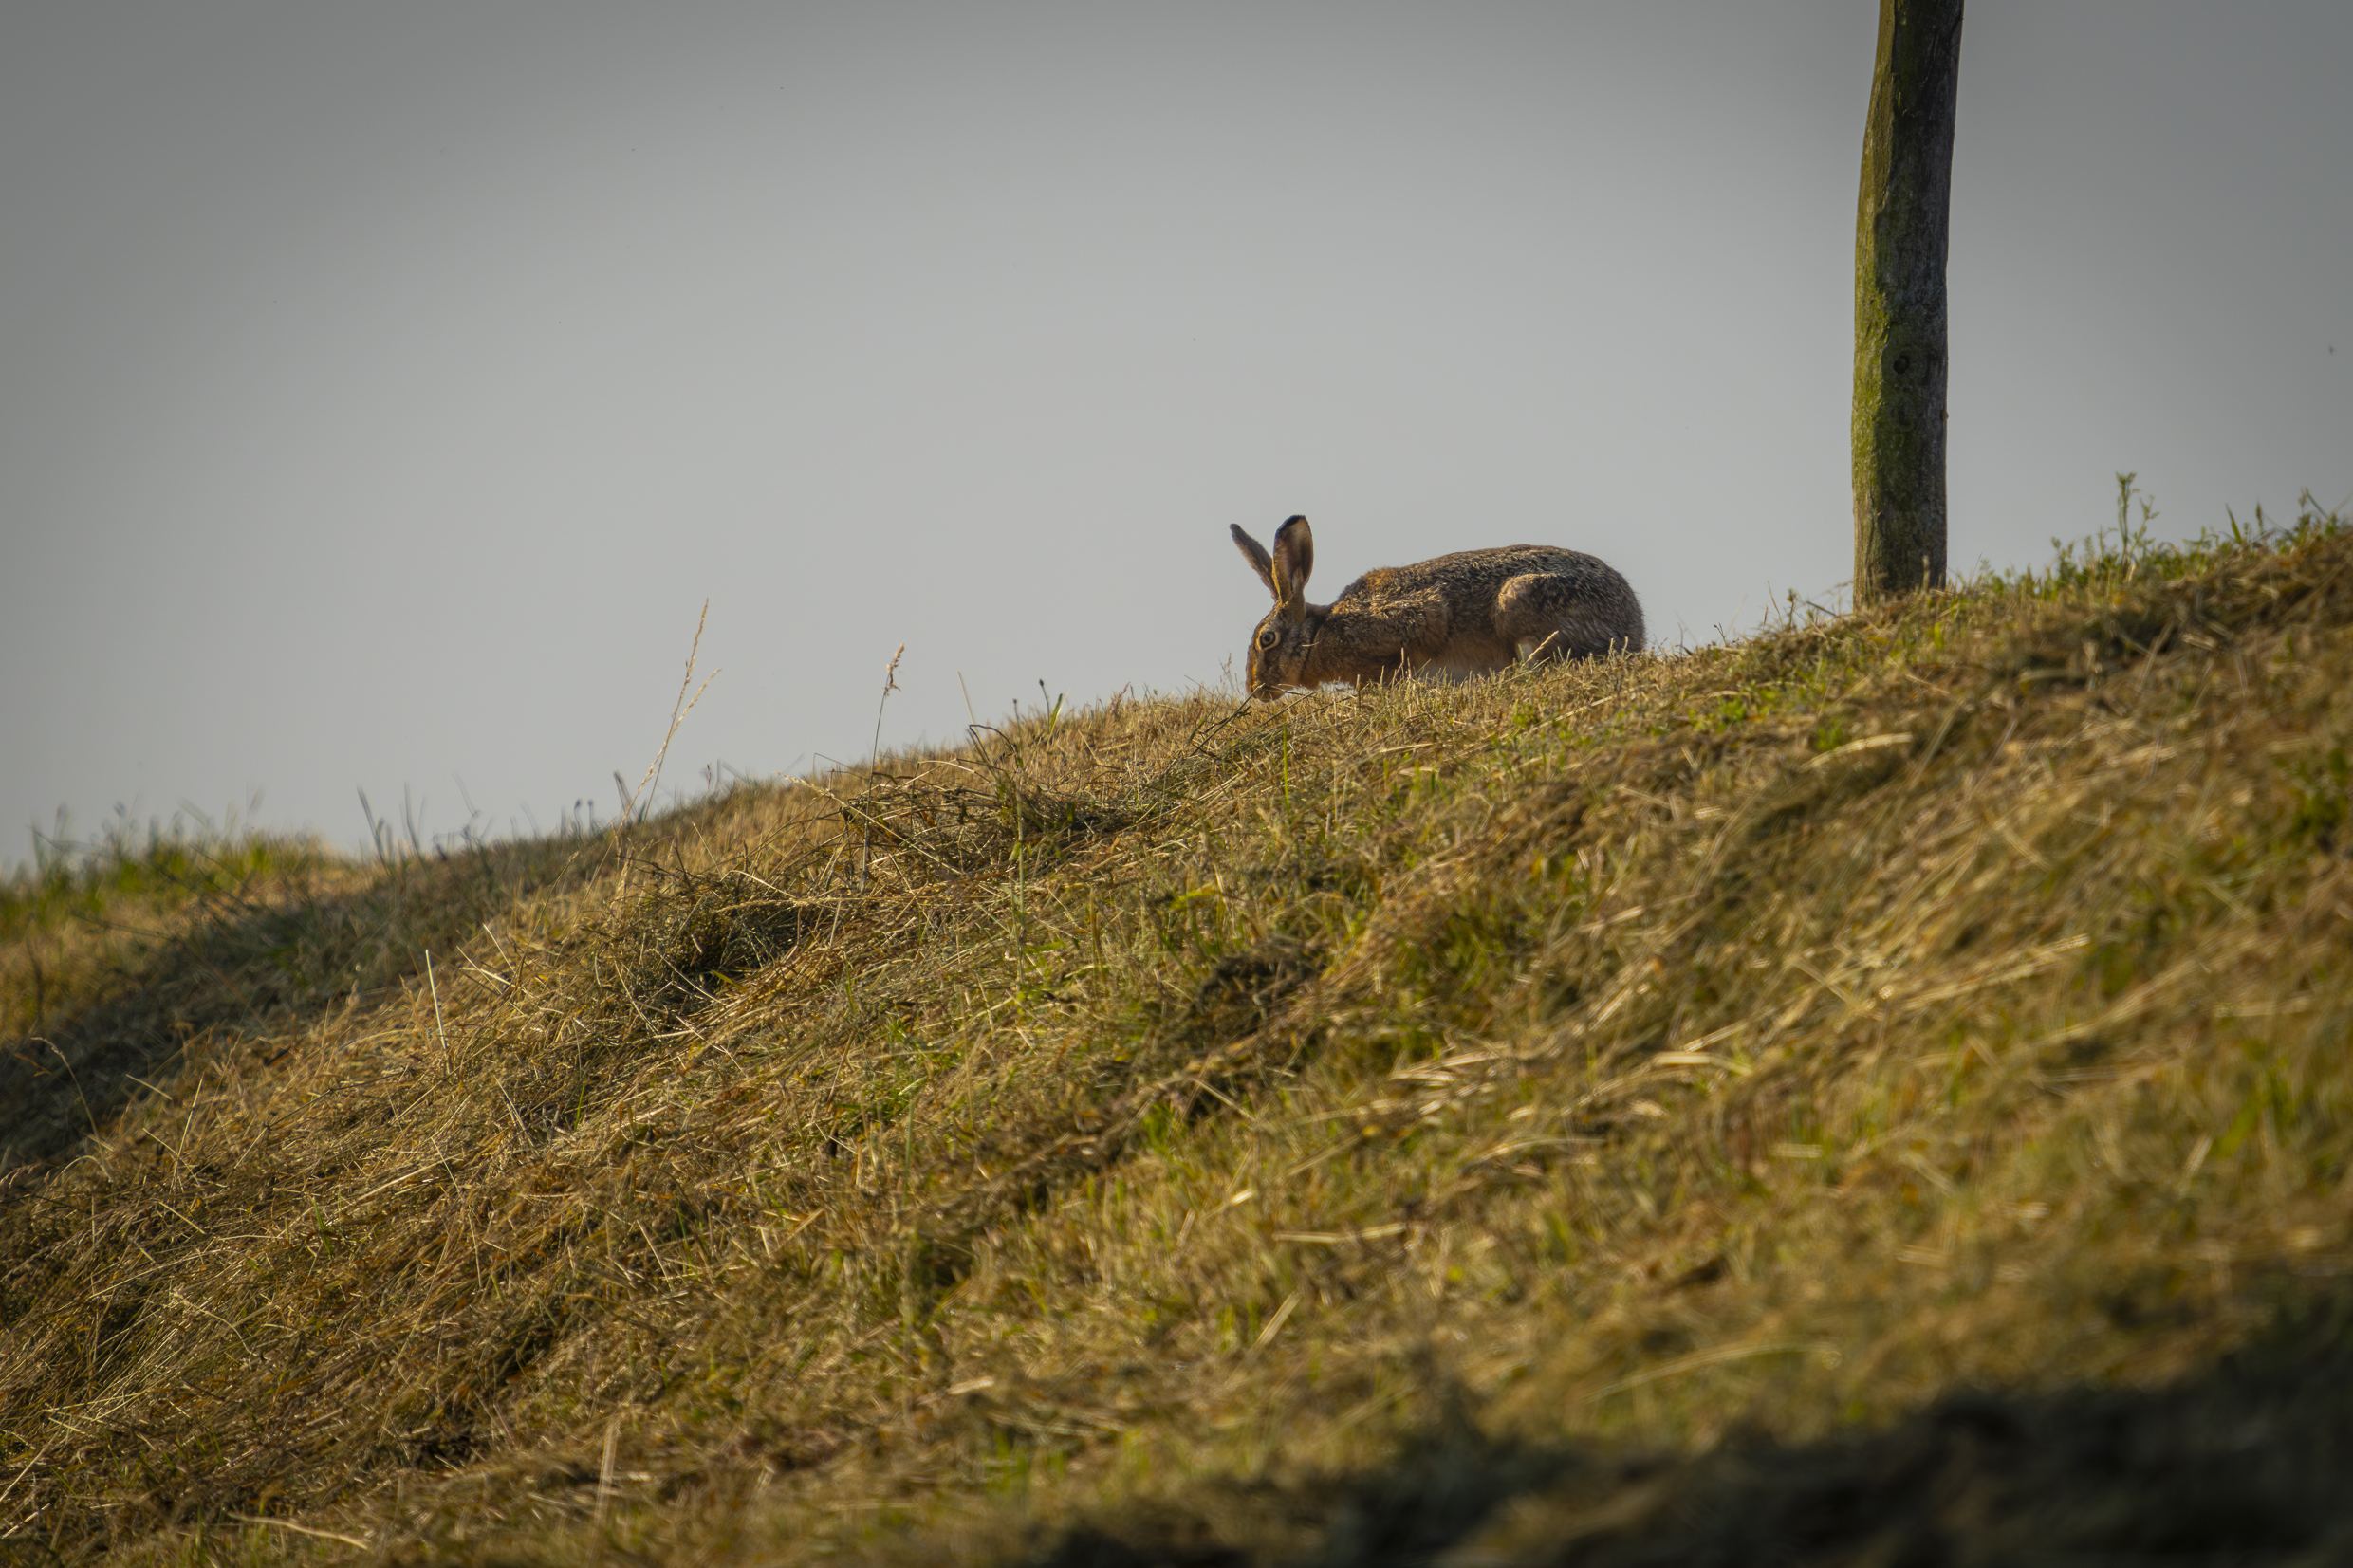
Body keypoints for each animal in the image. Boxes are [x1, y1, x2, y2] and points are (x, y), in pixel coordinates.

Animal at [1230, 515, 1644, 700]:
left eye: (1267, 640)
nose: (1254, 690)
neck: (1319, 633)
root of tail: (1634, 628)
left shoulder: (1416, 620)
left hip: (1519, 601)